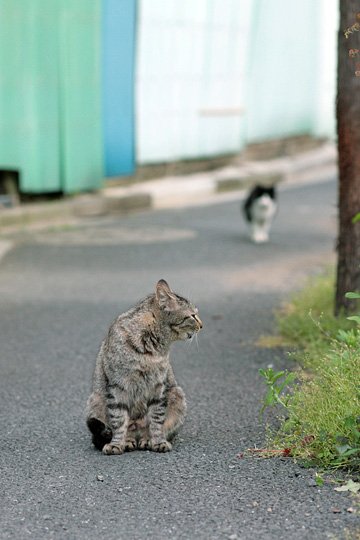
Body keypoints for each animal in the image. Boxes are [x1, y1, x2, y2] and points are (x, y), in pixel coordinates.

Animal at [85, 280, 202, 454]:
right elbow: (119, 419)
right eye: (192, 316)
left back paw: (146, 440)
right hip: (95, 399)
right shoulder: (117, 386)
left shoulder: (159, 387)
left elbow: (156, 420)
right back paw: (128, 441)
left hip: (177, 394)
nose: (202, 325)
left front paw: (158, 442)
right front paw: (116, 444)